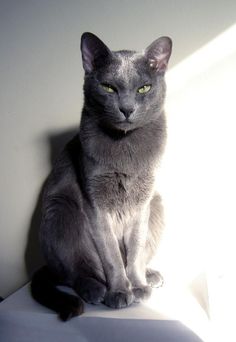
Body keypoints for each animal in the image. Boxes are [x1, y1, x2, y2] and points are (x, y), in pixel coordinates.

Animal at [30, 32, 171, 320]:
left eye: (144, 88)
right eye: (108, 87)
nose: (127, 109)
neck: (125, 145)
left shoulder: (143, 201)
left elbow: (136, 248)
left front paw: (137, 285)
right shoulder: (95, 202)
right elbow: (112, 256)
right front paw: (119, 291)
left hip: (158, 204)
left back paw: (150, 276)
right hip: (61, 209)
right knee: (74, 272)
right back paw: (94, 288)